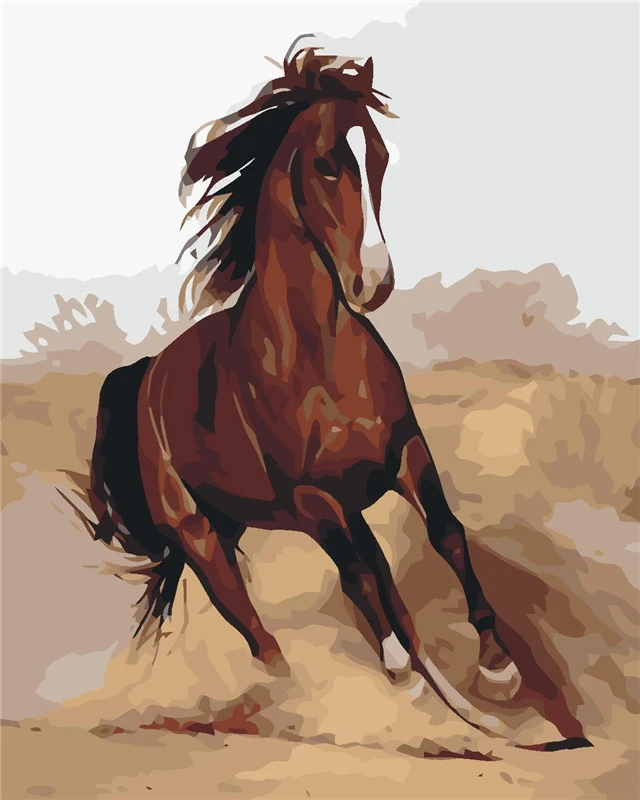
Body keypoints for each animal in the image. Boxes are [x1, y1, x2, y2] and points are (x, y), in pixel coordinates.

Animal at [86, 45, 589, 749]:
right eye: (326, 162)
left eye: (378, 156)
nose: (374, 281)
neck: (315, 357)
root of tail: (146, 377)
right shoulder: (312, 500)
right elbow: (356, 575)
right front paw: (401, 671)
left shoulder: (403, 456)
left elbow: (446, 534)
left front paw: (497, 669)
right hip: (202, 538)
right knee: (261, 632)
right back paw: (311, 703)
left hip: (250, 522)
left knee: (370, 588)